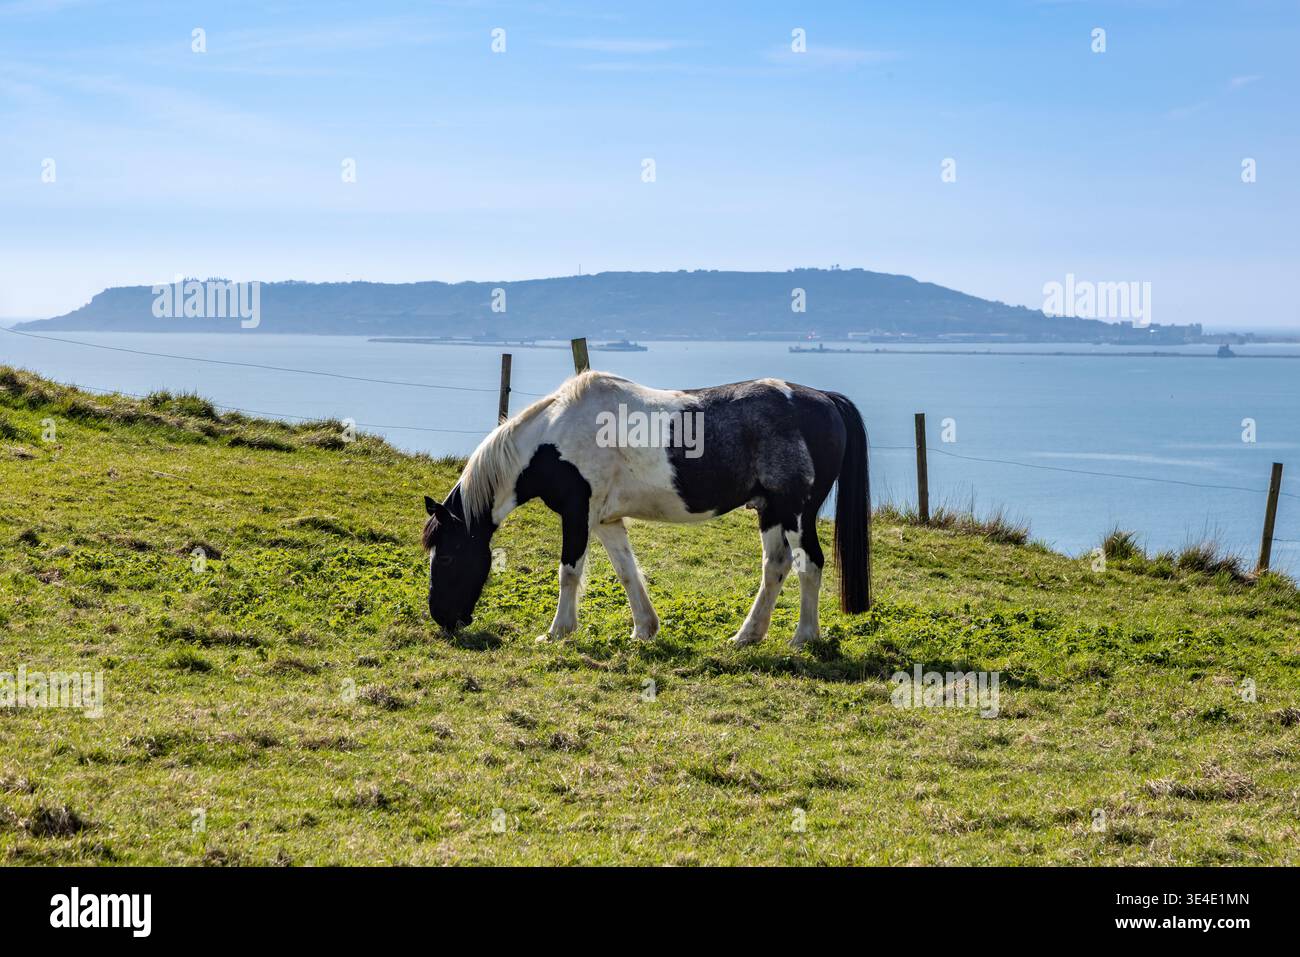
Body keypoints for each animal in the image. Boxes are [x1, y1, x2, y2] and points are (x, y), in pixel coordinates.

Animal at [421, 370, 870, 647]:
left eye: (446, 557)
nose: (443, 619)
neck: (554, 437)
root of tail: (825, 400)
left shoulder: (577, 514)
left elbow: (569, 573)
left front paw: (557, 632)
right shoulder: (605, 520)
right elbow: (626, 572)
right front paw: (644, 630)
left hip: (796, 512)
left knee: (809, 564)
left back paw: (803, 637)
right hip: (771, 511)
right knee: (775, 567)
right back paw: (747, 636)